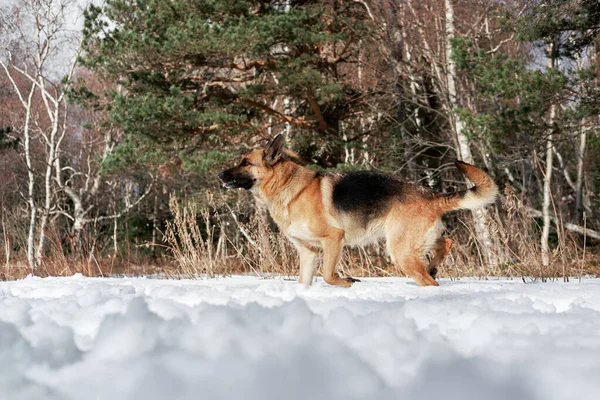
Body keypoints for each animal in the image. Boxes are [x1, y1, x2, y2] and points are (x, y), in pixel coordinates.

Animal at [219, 134, 496, 288]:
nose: (220, 175)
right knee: (446, 243)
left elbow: (328, 275)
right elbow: (304, 281)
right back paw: (433, 267)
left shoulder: (333, 239)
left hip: (400, 250)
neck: (287, 186)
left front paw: (348, 282)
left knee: (431, 280)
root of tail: (431, 195)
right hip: (412, 243)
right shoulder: (308, 252)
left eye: (245, 162)